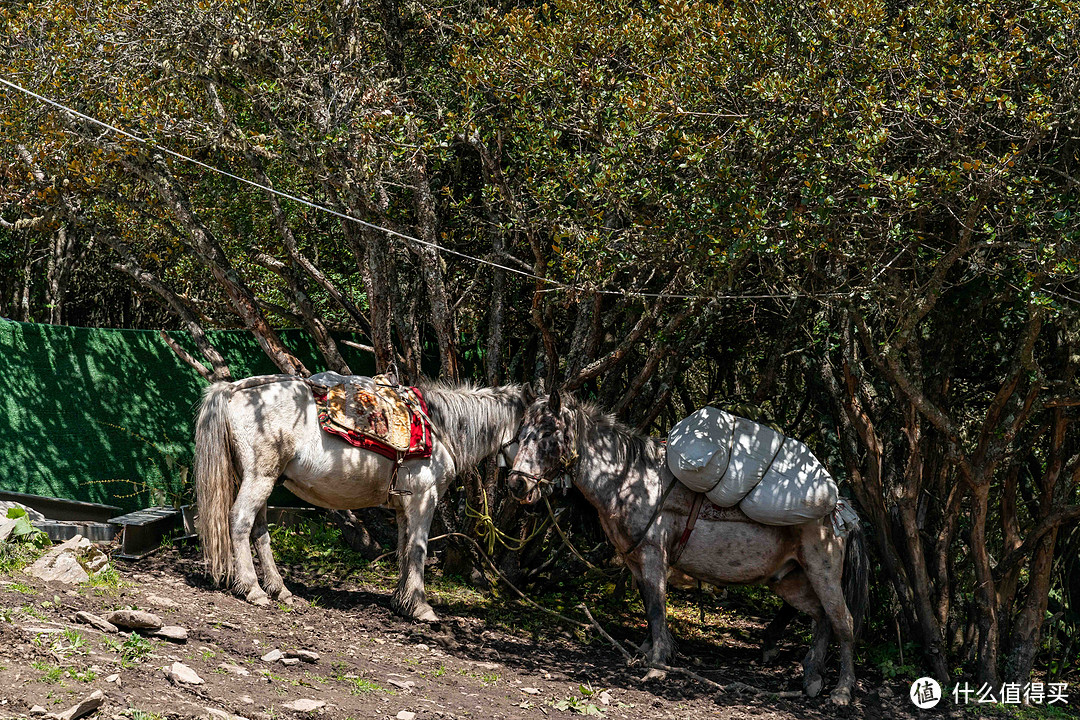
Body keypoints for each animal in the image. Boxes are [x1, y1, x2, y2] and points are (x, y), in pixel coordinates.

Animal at [196, 371, 533, 621]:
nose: (524, 485)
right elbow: (418, 549)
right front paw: (421, 608)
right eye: (536, 431)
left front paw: (401, 601)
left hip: (263, 479)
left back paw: (280, 590)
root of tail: (234, 390)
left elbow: (404, 548)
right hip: (259, 477)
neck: (439, 429)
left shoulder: (404, 505)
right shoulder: (424, 500)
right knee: (240, 522)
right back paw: (253, 589)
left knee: (260, 531)